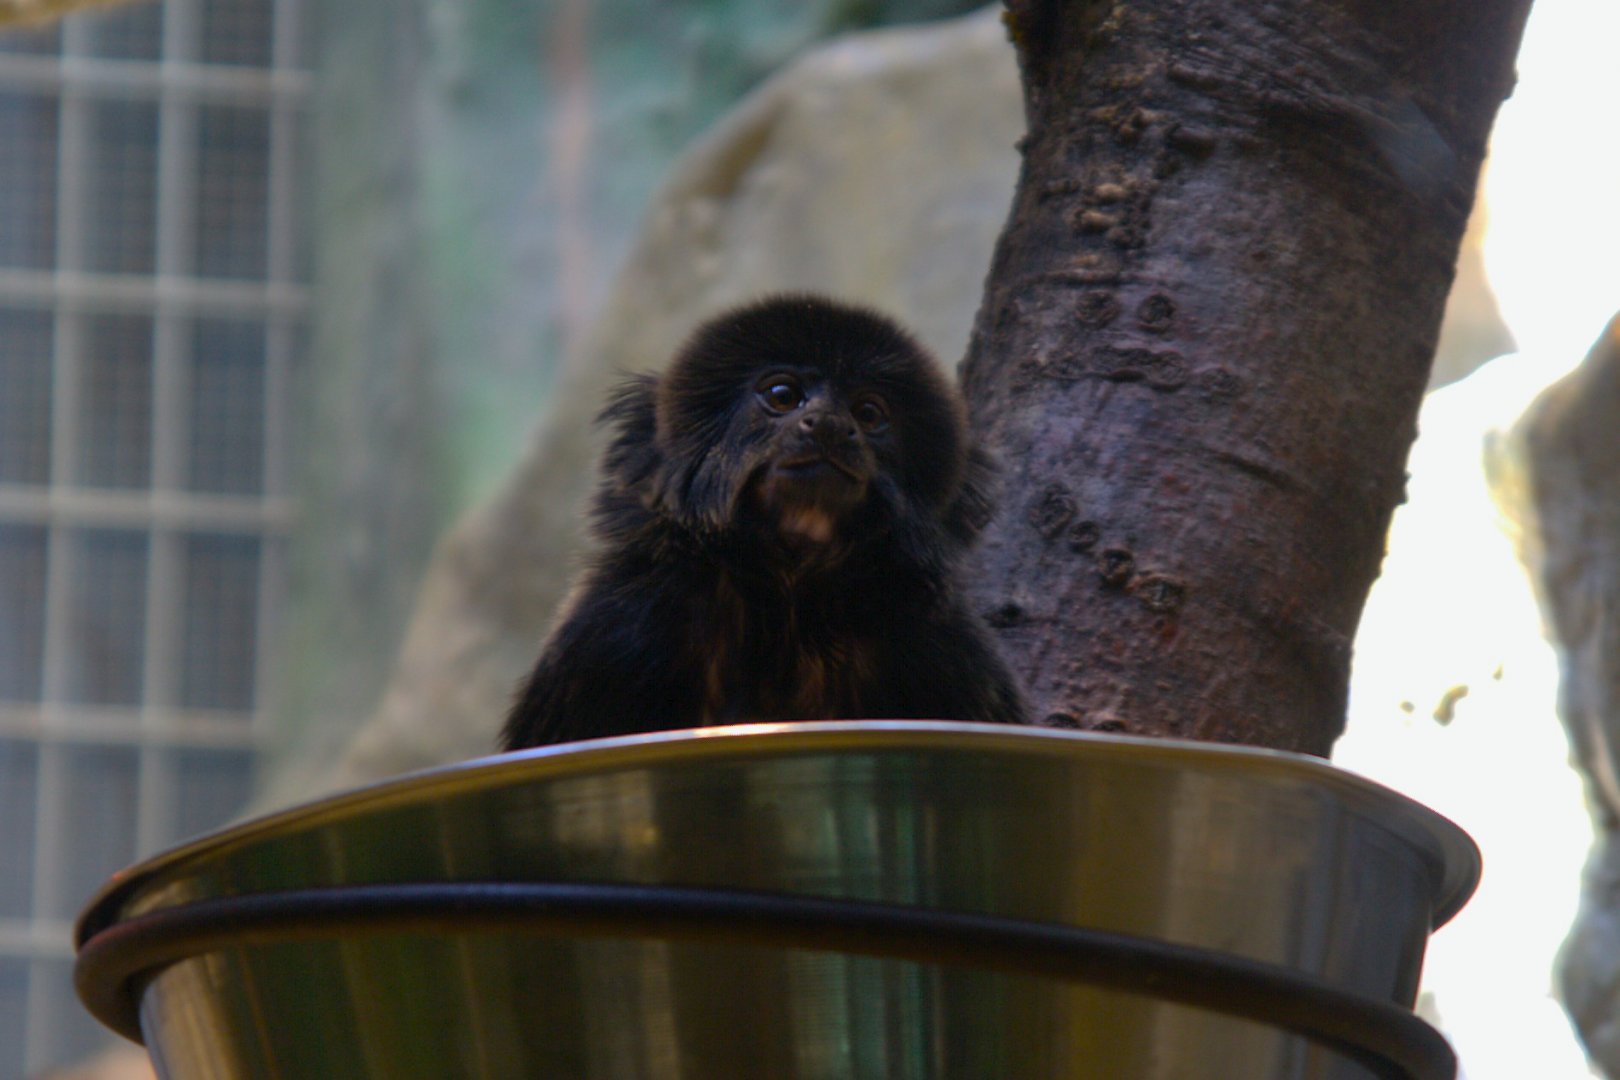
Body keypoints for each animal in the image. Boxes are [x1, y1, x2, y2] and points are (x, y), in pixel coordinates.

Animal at [501, 294, 1027, 750]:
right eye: (783, 395)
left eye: (868, 412)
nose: (830, 424)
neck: (788, 594)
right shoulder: (610, 631)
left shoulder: (946, 651)